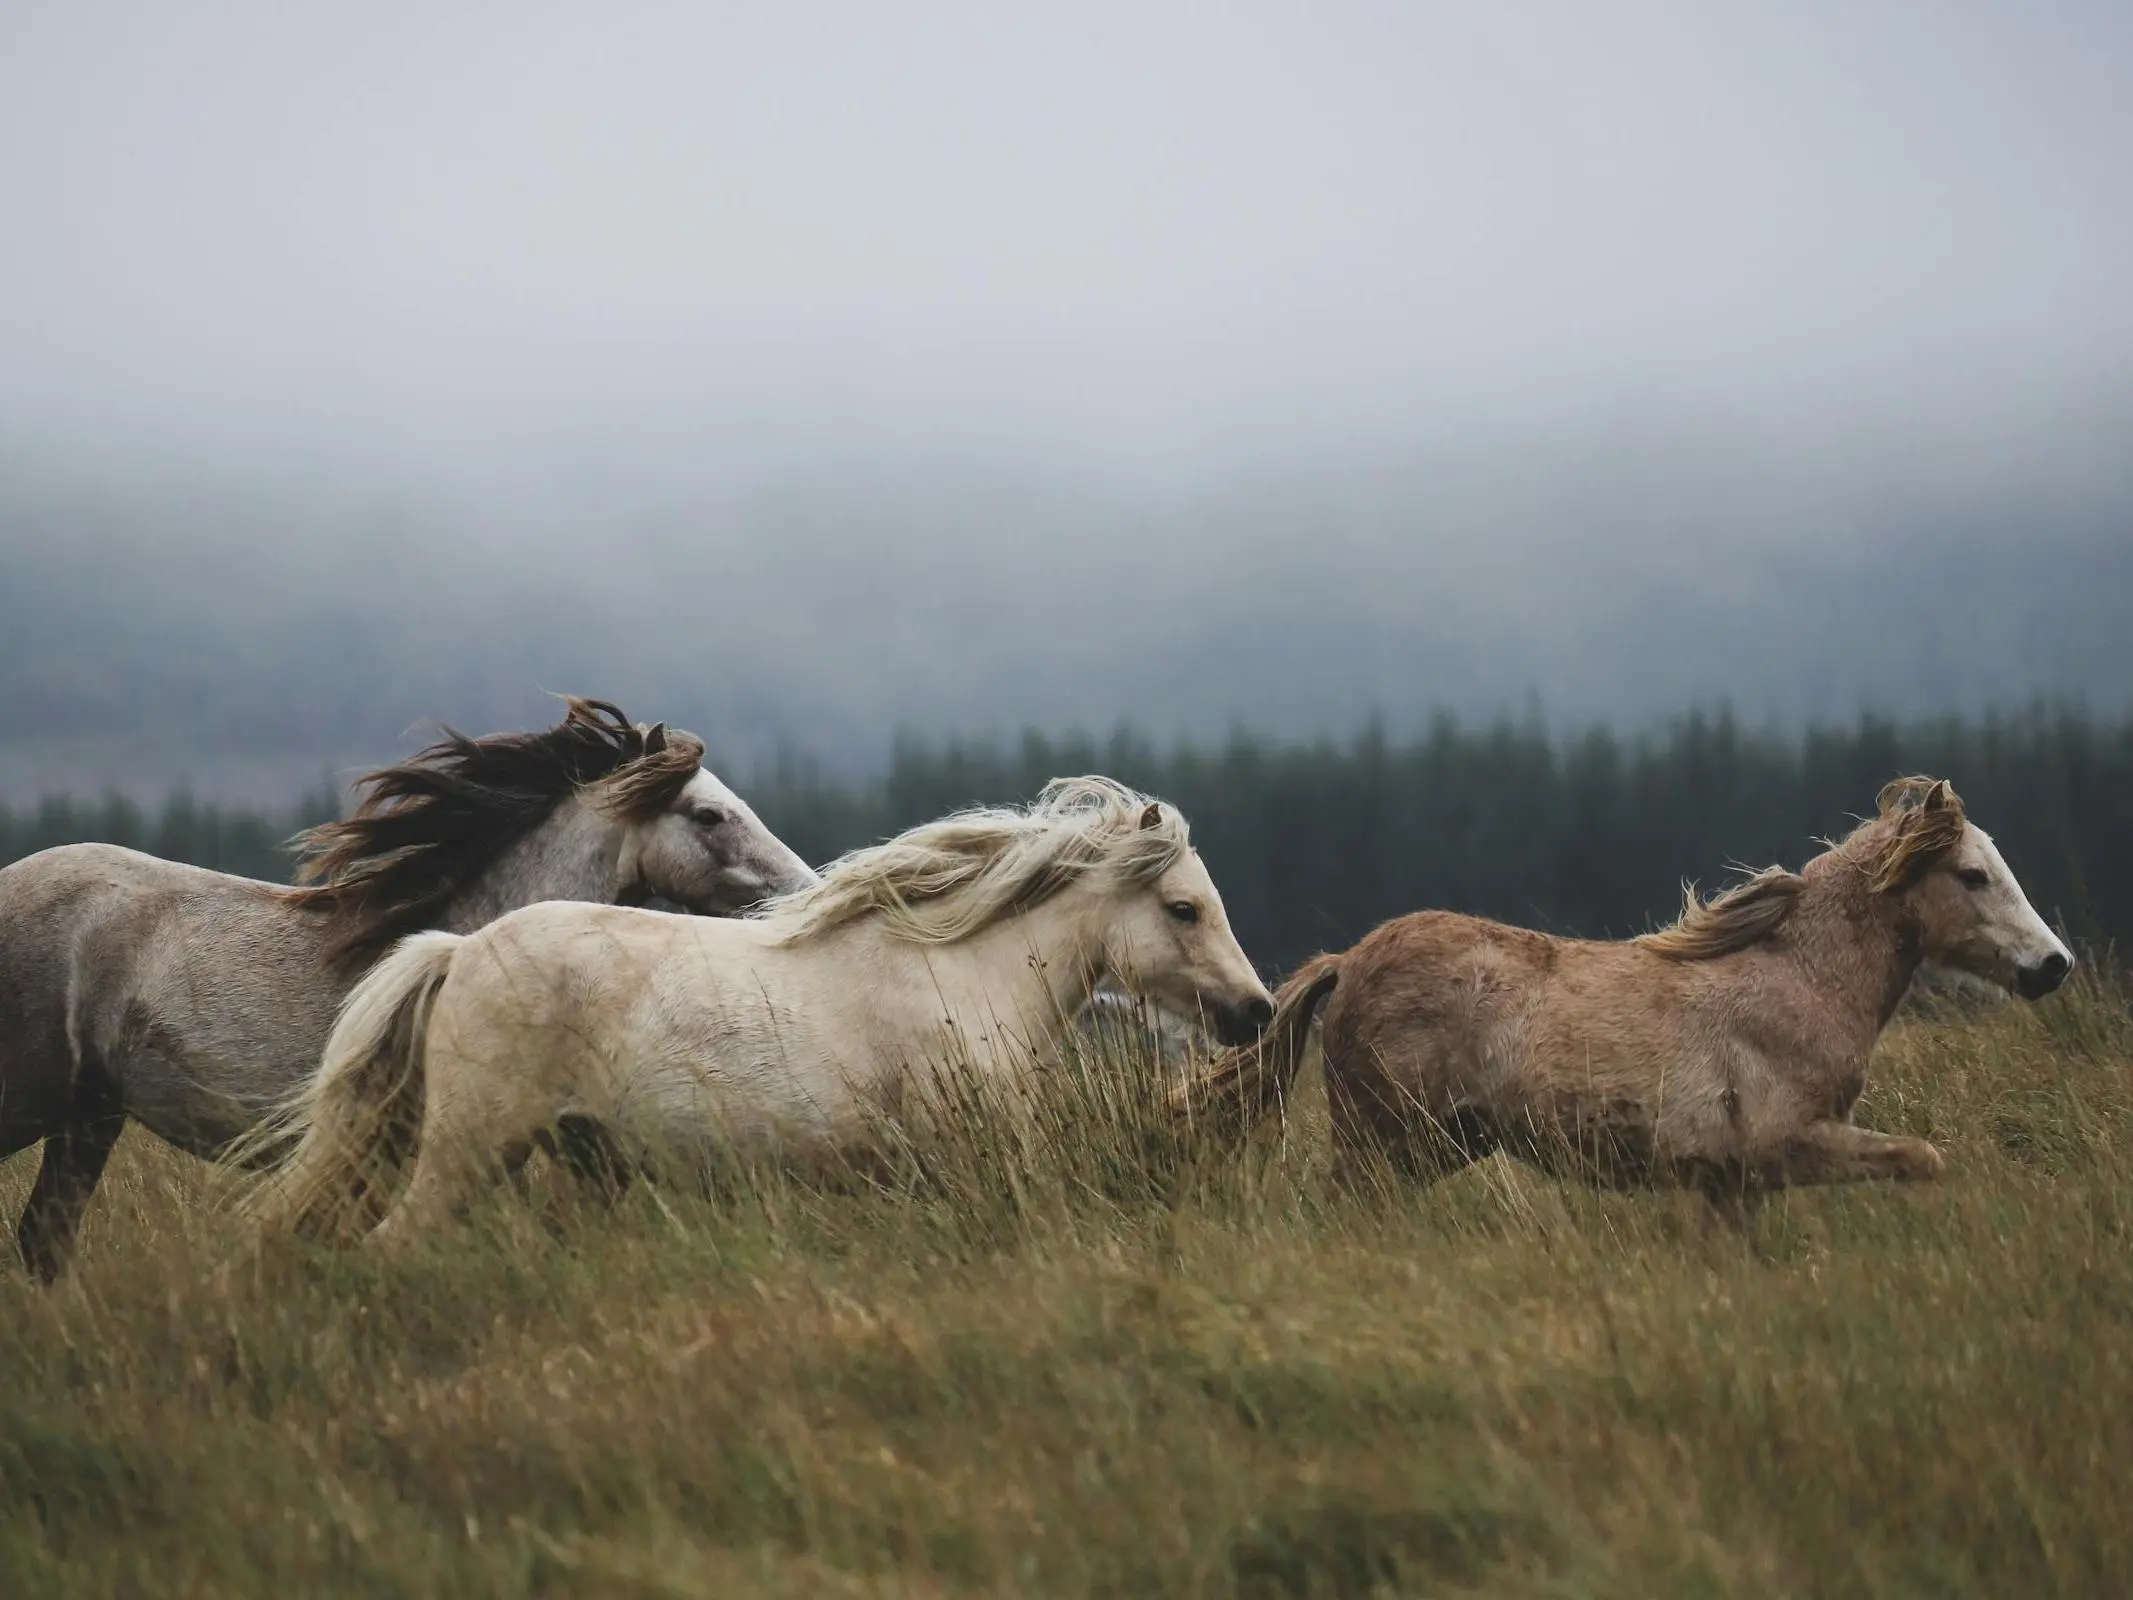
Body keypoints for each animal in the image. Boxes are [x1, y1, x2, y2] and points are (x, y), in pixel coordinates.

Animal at [1177, 776, 2073, 1203]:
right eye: (1972, 875)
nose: (2051, 965)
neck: (1800, 982)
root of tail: (1349, 959)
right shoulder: (1786, 1145)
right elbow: (1922, 1159)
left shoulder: (1728, 1186)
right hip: (1384, 1142)